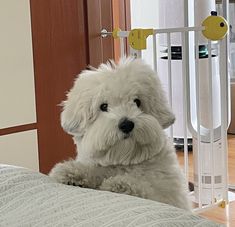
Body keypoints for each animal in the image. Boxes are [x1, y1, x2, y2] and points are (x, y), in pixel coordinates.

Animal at [49, 57, 191, 210]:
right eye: (103, 106)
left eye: (137, 102)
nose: (126, 124)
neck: (124, 160)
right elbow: (93, 170)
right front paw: (72, 172)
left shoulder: (167, 194)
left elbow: (146, 189)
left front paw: (120, 185)